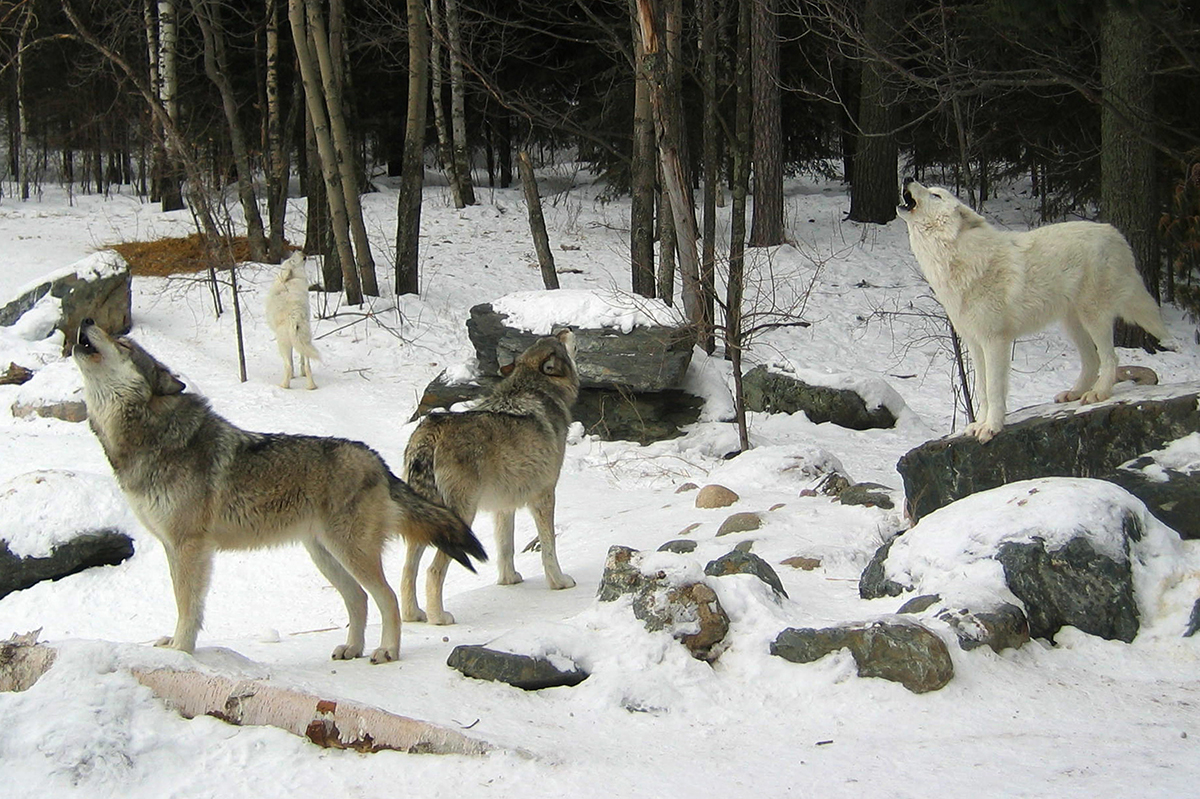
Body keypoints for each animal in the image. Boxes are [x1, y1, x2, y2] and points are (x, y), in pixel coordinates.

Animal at [69, 316, 482, 657]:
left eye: (123, 344)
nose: (86, 319)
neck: (148, 437)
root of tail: (376, 459)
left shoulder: (190, 547)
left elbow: (188, 605)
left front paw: (181, 650)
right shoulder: (173, 548)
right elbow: (180, 601)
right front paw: (174, 643)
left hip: (351, 553)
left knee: (388, 598)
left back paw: (387, 652)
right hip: (325, 556)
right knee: (359, 600)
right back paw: (352, 648)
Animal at [264, 247, 319, 386]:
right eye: (292, 260)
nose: (298, 250)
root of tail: (296, 315)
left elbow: (291, 363)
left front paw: (293, 377)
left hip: (282, 344)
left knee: (288, 365)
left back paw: (284, 386)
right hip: (305, 340)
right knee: (307, 365)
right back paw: (311, 386)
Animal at [403, 328, 580, 623]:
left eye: (549, 337)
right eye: (557, 340)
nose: (566, 328)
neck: (535, 388)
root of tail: (431, 430)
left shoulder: (504, 506)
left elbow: (505, 547)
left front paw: (509, 580)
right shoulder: (544, 495)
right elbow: (549, 546)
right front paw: (559, 582)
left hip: (426, 520)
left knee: (407, 570)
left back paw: (412, 614)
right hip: (462, 518)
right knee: (432, 570)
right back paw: (439, 618)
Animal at [897, 178, 1166, 441]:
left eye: (936, 195)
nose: (908, 178)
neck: (955, 259)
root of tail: (1113, 232)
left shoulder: (995, 341)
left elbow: (994, 390)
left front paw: (991, 428)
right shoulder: (974, 343)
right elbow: (982, 390)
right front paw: (978, 425)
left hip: (1094, 317)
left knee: (1110, 358)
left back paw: (1098, 394)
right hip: (1072, 325)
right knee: (1093, 360)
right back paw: (1074, 393)